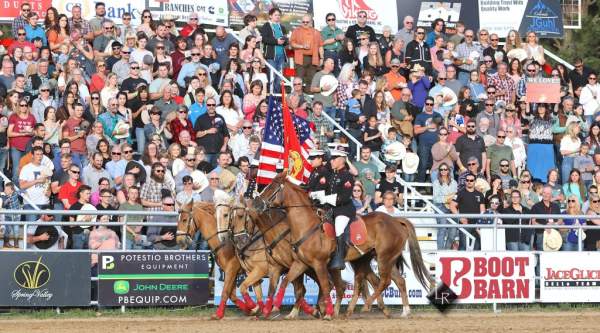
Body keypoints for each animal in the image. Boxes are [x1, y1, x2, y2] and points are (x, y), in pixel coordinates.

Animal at [251, 172, 434, 318]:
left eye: (272, 188)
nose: (256, 204)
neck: (306, 225)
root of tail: (395, 220)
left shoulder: (319, 264)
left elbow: (325, 287)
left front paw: (327, 313)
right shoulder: (300, 263)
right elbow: (285, 283)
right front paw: (270, 309)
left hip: (384, 258)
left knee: (384, 282)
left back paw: (366, 305)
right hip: (385, 259)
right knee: (397, 281)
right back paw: (403, 311)